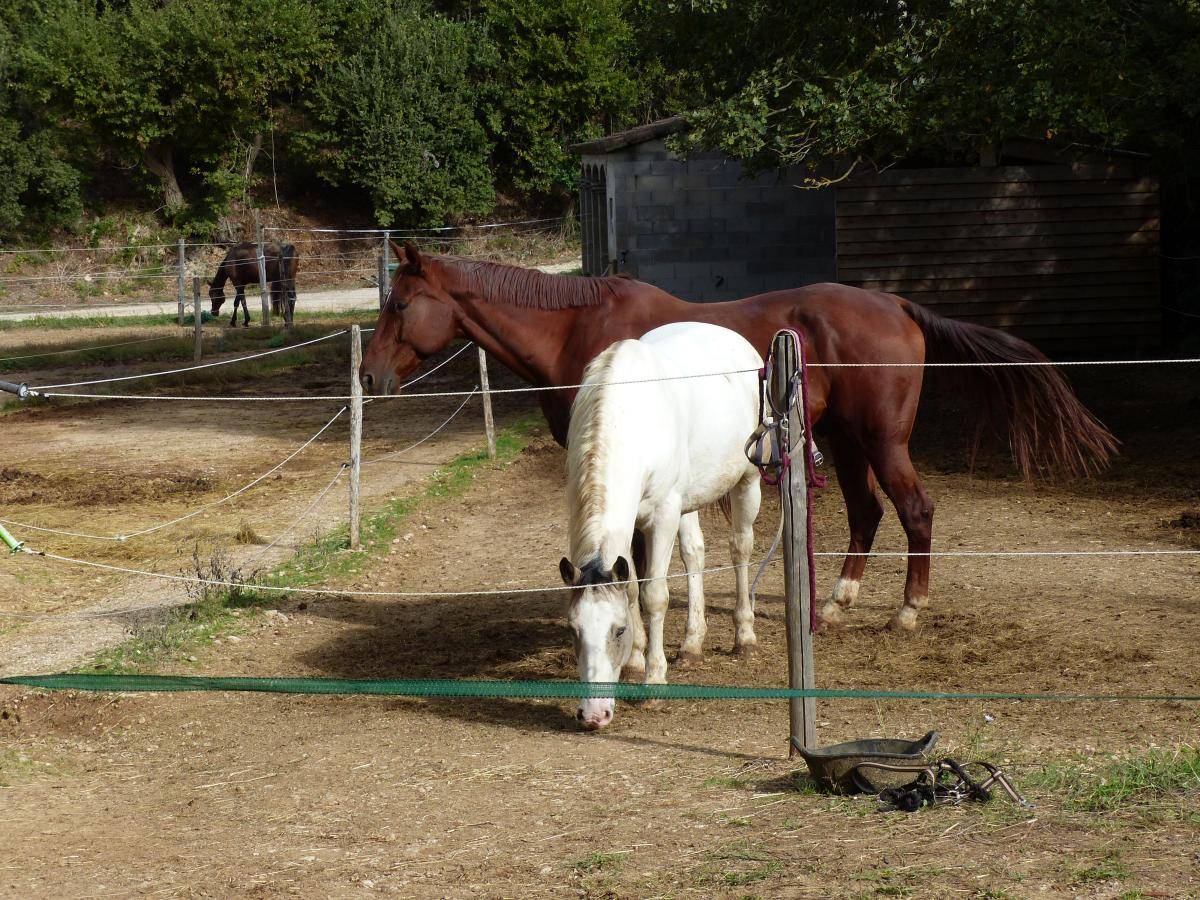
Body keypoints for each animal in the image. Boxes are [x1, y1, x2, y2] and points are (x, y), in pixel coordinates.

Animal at [355, 240, 1113, 643]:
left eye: (400, 305)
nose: (367, 375)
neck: (579, 333)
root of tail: (895, 303)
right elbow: (690, 551)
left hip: (880, 441)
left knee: (914, 511)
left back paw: (906, 610)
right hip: (842, 442)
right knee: (867, 513)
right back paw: (837, 601)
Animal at [559, 321, 763, 729]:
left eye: (617, 630)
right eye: (574, 630)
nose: (593, 715)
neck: (627, 418)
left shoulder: (664, 514)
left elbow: (655, 595)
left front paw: (654, 679)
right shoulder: (633, 525)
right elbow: (631, 591)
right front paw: (635, 663)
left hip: (747, 480)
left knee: (740, 548)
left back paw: (744, 637)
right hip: (688, 501)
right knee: (695, 553)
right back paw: (692, 644)